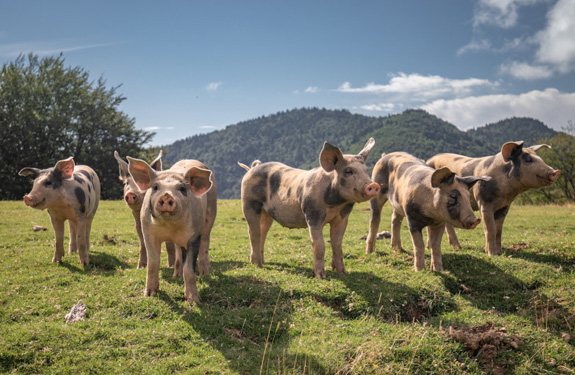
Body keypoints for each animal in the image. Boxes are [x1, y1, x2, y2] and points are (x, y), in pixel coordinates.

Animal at [127, 157, 217, 304]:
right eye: (155, 187)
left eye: (182, 188)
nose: (166, 196)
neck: (170, 227)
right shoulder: (148, 232)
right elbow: (153, 263)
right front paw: (149, 294)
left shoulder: (194, 237)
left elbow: (189, 269)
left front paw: (193, 300)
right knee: (179, 252)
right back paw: (176, 275)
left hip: (211, 212)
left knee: (205, 241)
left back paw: (205, 273)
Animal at [240, 138, 380, 280]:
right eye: (348, 171)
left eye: (366, 170)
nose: (373, 185)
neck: (336, 204)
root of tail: (252, 168)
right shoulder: (312, 214)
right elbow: (319, 244)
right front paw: (320, 276)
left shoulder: (342, 218)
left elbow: (337, 243)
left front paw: (342, 273)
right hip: (249, 202)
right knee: (253, 233)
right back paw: (258, 265)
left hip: (267, 213)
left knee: (263, 231)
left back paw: (262, 262)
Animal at [430, 142, 560, 258]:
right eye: (528, 160)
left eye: (541, 159)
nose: (556, 172)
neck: (506, 193)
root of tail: (430, 159)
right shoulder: (484, 202)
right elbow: (490, 229)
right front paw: (491, 254)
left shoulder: (505, 206)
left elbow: (498, 230)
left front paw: (500, 252)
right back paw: (455, 247)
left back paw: (456, 247)